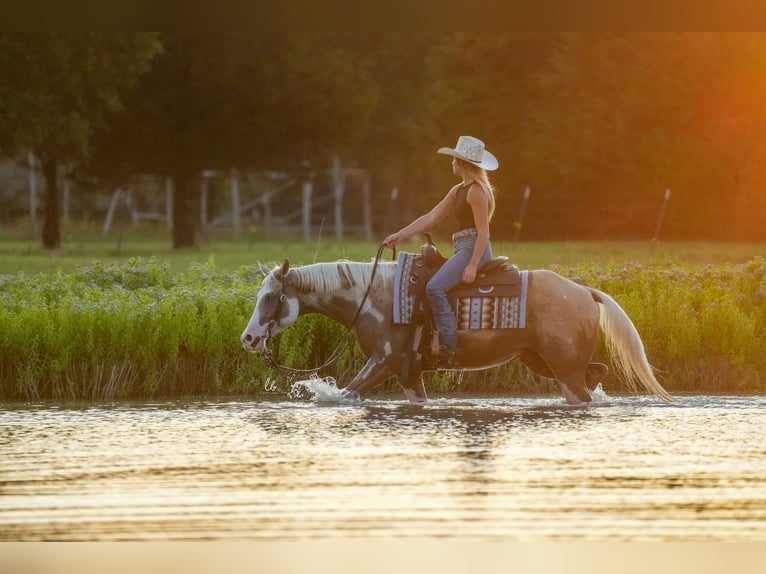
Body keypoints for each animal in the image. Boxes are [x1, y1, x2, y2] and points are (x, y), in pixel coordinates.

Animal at [242, 258, 672, 408]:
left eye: (273, 297)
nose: (248, 339)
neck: (374, 297)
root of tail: (583, 291)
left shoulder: (383, 362)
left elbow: (346, 394)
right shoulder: (410, 372)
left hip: (563, 368)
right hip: (544, 362)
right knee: (596, 374)